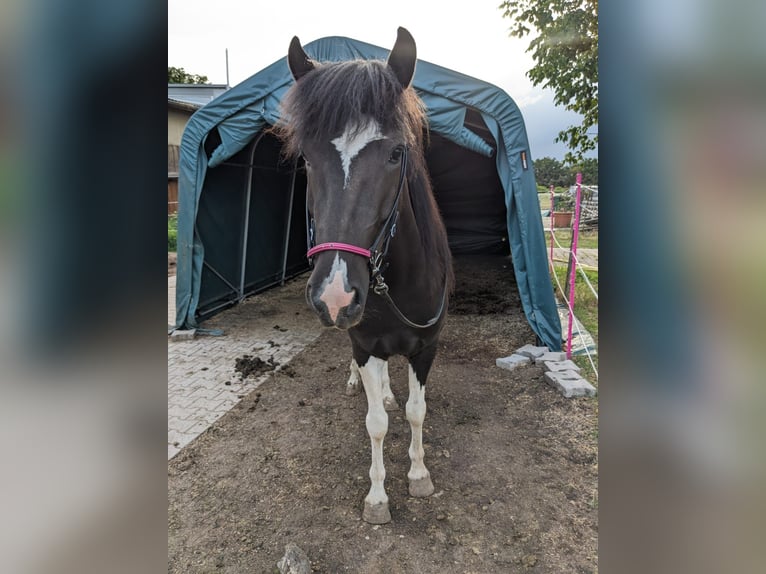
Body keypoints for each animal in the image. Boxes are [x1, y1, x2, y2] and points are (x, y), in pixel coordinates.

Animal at [278, 28, 452, 528]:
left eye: (396, 153)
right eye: (306, 156)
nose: (335, 296)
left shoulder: (426, 347)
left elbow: (416, 412)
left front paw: (418, 476)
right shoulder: (364, 343)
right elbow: (376, 424)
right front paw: (377, 497)